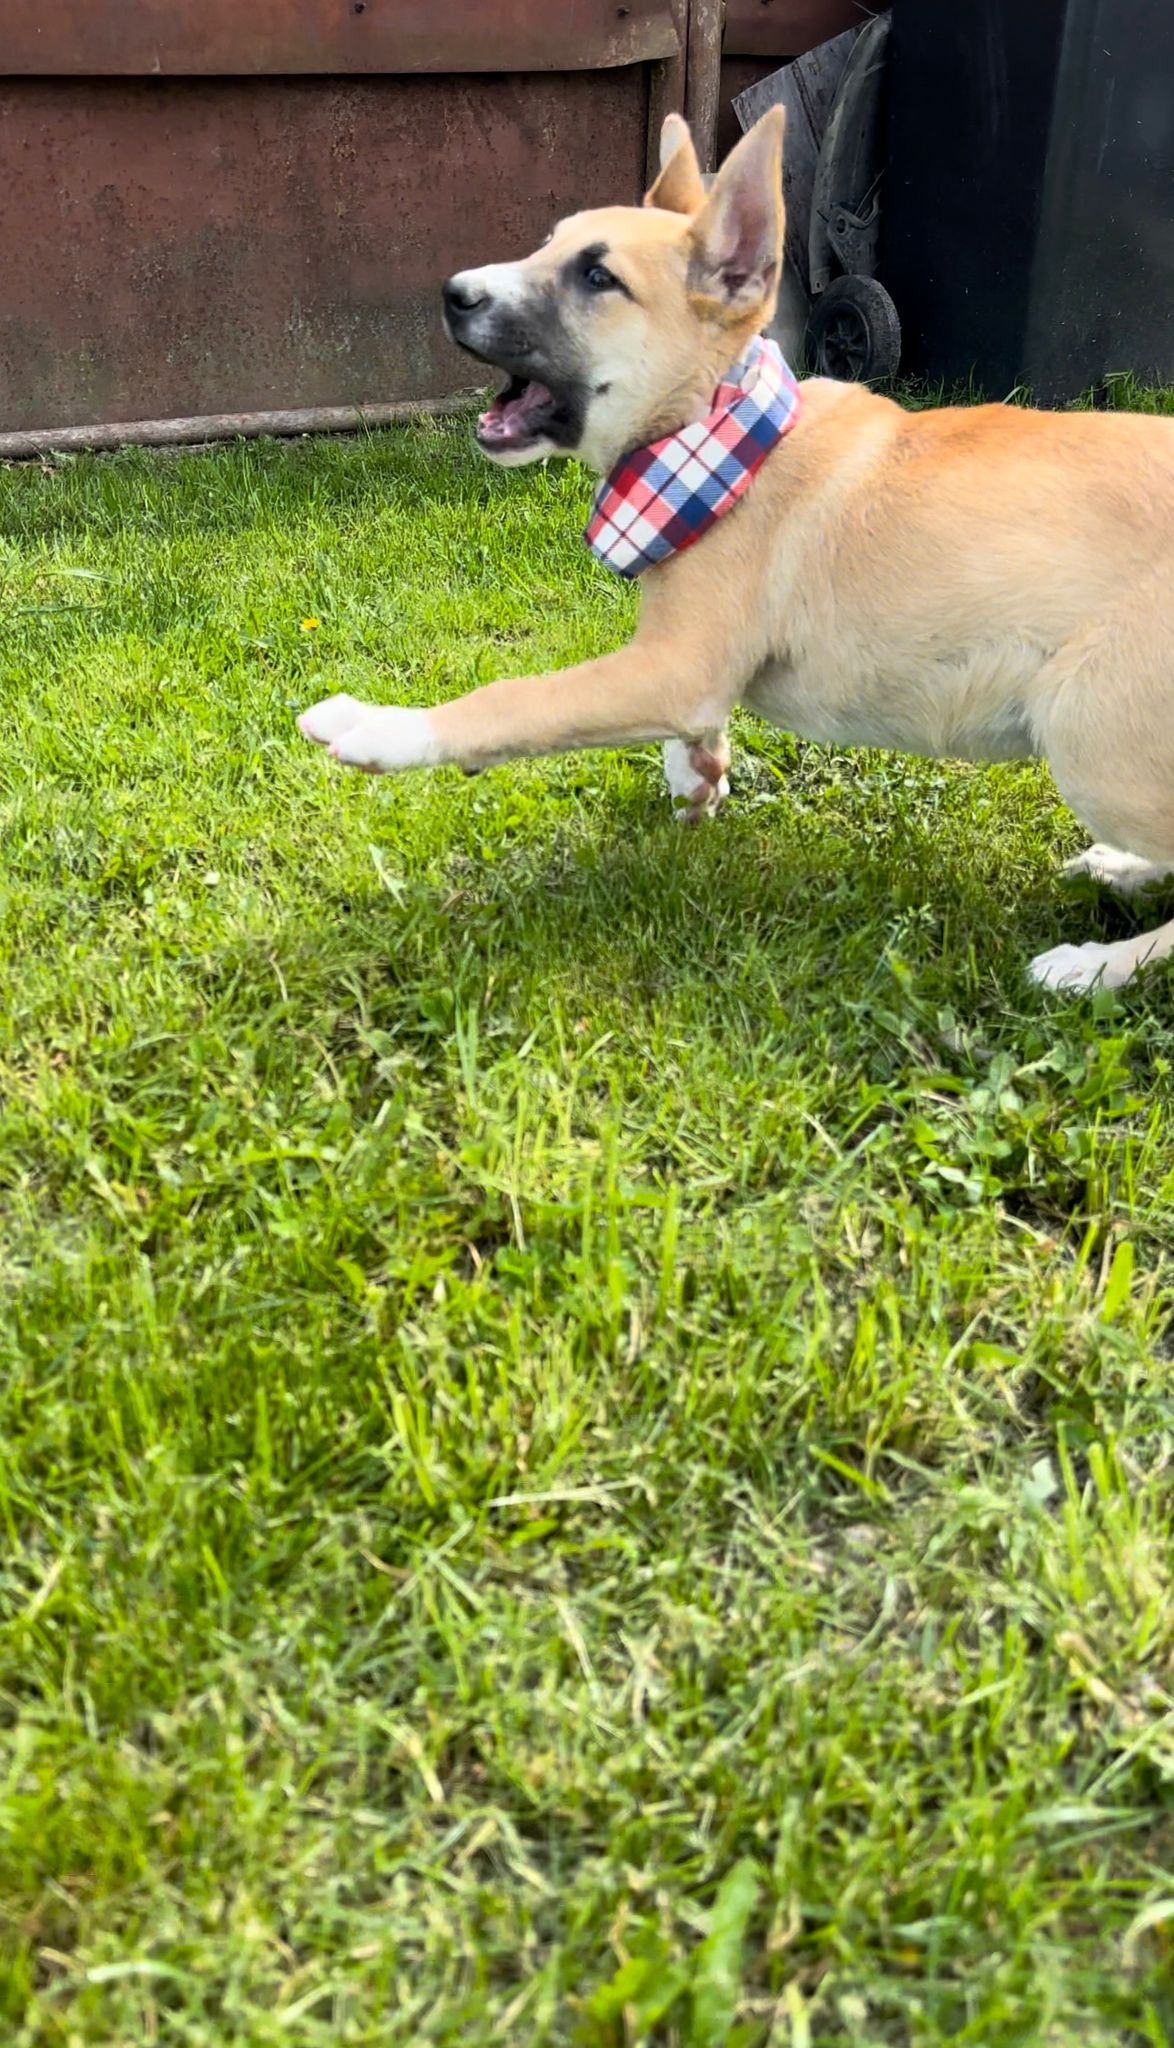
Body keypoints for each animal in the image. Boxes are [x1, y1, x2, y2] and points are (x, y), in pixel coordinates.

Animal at [300, 109, 1174, 992]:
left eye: (598, 277)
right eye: (549, 245)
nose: (454, 292)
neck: (724, 432)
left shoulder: (672, 666)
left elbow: (514, 700)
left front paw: (381, 728)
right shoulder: (683, 666)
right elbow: (684, 725)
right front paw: (696, 774)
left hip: (1086, 725)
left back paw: (1098, 966)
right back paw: (1123, 869)